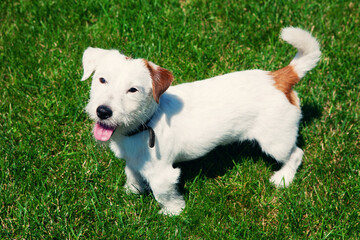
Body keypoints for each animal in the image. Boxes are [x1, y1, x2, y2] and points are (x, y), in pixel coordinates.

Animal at [81, 27, 320, 215]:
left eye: (133, 90)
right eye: (102, 80)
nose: (103, 111)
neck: (145, 122)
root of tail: (279, 77)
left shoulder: (163, 174)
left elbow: (163, 193)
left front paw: (173, 212)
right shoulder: (133, 161)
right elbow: (132, 175)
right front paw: (131, 192)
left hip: (275, 142)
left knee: (296, 154)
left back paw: (283, 178)